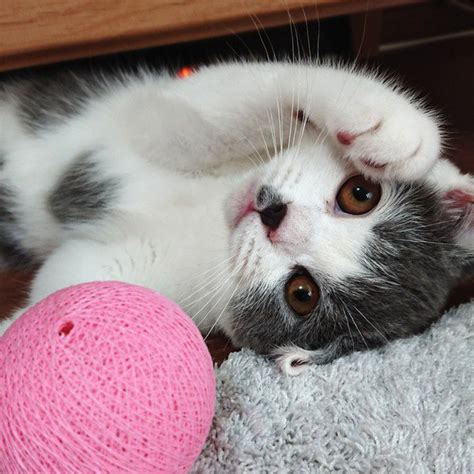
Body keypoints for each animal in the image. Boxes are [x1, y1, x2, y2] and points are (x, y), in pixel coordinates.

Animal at [0, 61, 472, 375]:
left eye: (302, 293)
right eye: (360, 194)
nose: (274, 213)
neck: (210, 206)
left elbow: (54, 294)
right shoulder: (162, 113)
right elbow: (218, 109)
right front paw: (391, 124)